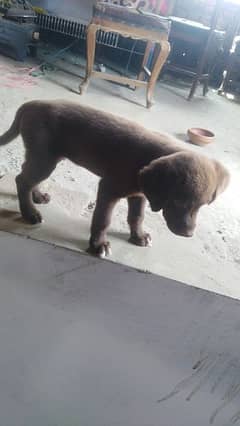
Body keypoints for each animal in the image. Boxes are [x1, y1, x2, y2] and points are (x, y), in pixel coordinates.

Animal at [0, 100, 229, 256]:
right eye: (178, 201)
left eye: (202, 206)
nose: (188, 234)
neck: (148, 158)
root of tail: (32, 103)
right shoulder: (108, 188)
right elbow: (103, 220)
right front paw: (98, 245)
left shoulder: (139, 194)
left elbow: (137, 216)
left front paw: (138, 236)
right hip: (44, 158)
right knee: (22, 180)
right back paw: (30, 213)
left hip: (45, 156)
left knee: (27, 174)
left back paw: (37, 196)